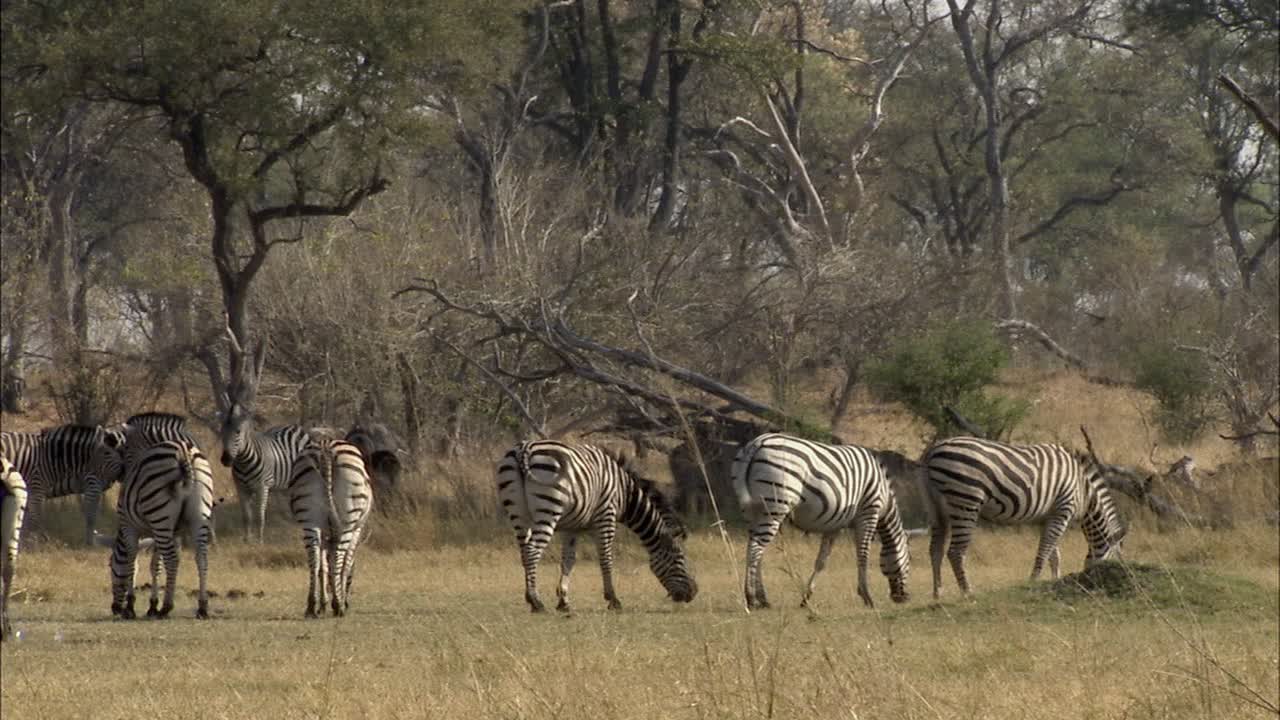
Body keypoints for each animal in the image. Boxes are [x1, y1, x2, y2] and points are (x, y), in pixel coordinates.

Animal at [110, 435, 215, 620]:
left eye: (110, 569)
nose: (114, 609)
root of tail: (184, 451)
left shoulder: (130, 526)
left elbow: (131, 562)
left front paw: (130, 607)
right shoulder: (167, 533)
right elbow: (156, 565)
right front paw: (152, 605)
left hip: (159, 513)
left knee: (172, 560)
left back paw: (166, 607)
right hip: (198, 516)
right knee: (201, 558)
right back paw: (202, 607)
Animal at [288, 435, 373, 614]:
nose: (347, 603)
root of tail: (326, 447)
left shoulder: (324, 533)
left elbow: (323, 566)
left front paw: (322, 603)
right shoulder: (357, 530)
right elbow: (345, 564)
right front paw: (337, 600)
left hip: (309, 517)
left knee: (313, 558)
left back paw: (311, 606)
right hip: (348, 519)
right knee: (339, 556)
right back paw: (338, 605)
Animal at [494, 438, 696, 609]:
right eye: (679, 558)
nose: (694, 592)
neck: (624, 493)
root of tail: (524, 448)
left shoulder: (571, 527)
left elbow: (568, 560)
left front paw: (564, 600)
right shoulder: (606, 517)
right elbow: (606, 558)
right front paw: (613, 599)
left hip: (518, 512)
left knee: (524, 552)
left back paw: (530, 598)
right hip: (549, 510)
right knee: (532, 550)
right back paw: (536, 601)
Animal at [732, 430, 911, 604]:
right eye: (909, 561)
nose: (904, 598)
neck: (885, 497)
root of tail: (757, 443)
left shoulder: (835, 524)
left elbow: (821, 561)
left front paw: (806, 597)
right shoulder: (868, 513)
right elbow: (863, 556)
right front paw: (866, 596)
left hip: (752, 511)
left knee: (755, 550)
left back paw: (762, 598)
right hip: (775, 507)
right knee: (755, 548)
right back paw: (752, 598)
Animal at [926, 435, 1126, 597]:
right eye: (1115, 559)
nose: (1092, 579)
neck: (1083, 490)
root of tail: (933, 451)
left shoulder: (1048, 516)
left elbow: (1053, 554)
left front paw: (1055, 580)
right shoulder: (1063, 510)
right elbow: (1045, 551)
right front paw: (1034, 581)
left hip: (938, 510)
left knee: (935, 550)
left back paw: (938, 593)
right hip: (966, 501)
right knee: (955, 552)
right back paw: (967, 592)